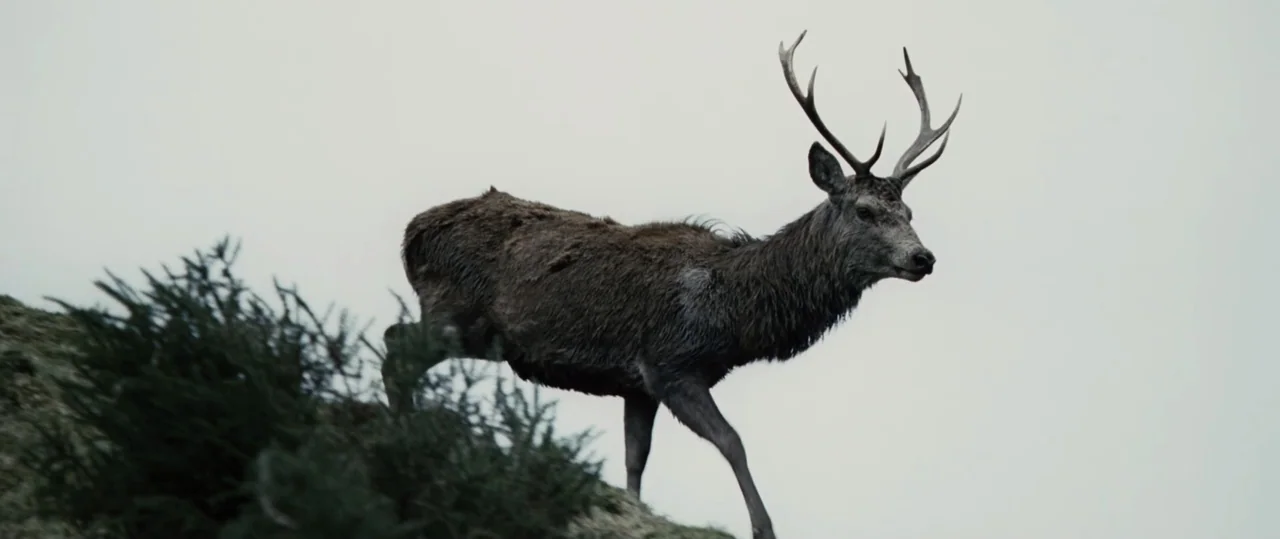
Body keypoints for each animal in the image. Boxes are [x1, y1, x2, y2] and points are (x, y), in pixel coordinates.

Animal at [384, 31, 961, 539]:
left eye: (908, 212)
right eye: (864, 210)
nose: (923, 257)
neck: (732, 312)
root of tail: (411, 233)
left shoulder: (634, 383)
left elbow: (635, 462)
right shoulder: (671, 364)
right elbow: (732, 441)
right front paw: (763, 527)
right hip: (455, 314)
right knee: (395, 344)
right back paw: (403, 432)